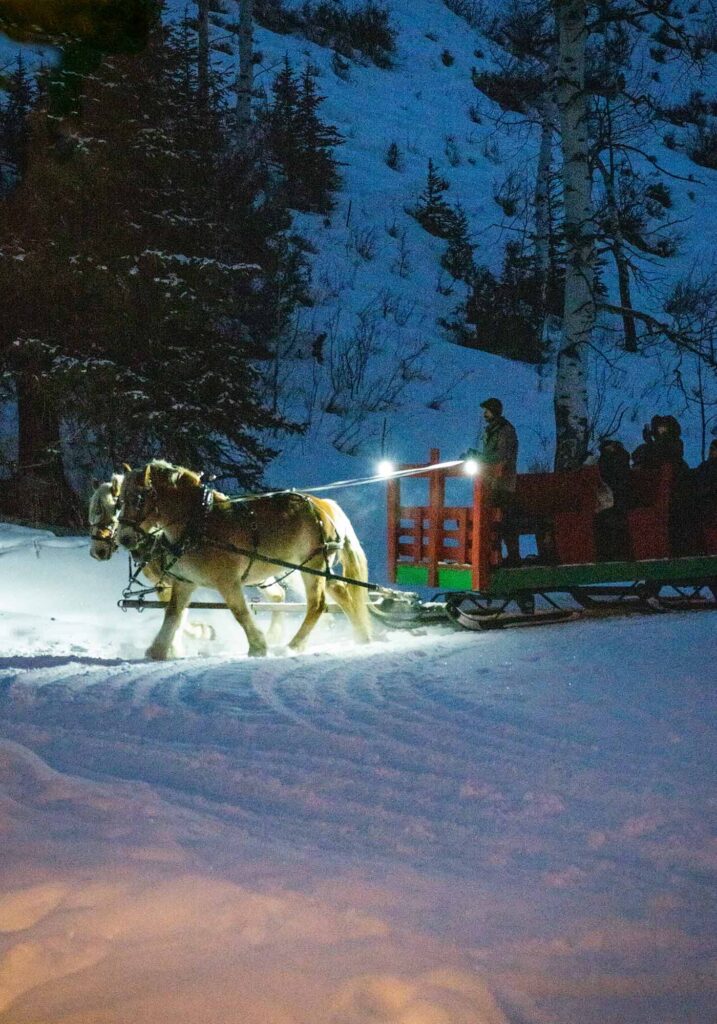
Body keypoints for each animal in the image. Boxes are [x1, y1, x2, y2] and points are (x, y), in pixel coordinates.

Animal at [115, 460, 372, 659]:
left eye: (138, 498)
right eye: (119, 501)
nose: (124, 538)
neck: (199, 522)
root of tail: (324, 505)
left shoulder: (227, 582)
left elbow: (240, 612)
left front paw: (258, 646)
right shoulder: (184, 582)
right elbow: (173, 614)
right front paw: (157, 650)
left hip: (312, 565)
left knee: (317, 604)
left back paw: (293, 645)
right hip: (314, 567)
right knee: (341, 592)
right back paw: (362, 635)